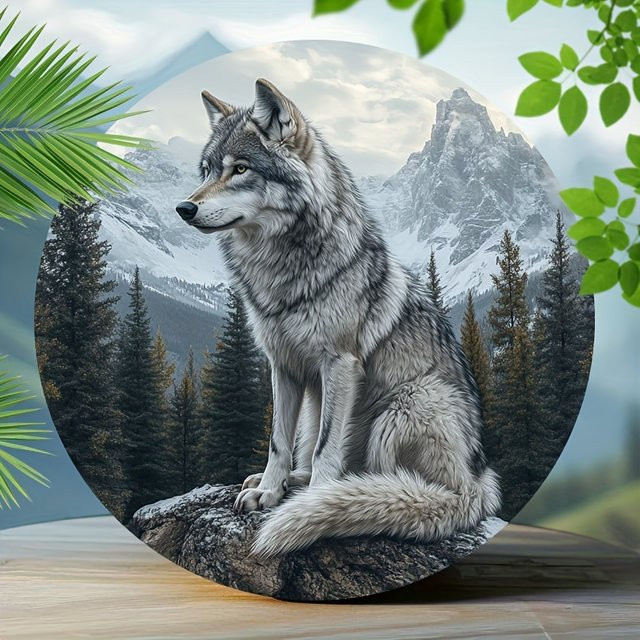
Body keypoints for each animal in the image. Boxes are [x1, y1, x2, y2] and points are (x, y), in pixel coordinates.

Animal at [175, 78, 500, 556]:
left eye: (240, 169)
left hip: (406, 403)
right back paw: (289, 483)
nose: (184, 208)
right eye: (207, 171)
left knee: (399, 484)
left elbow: (325, 447)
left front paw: (313, 502)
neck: (283, 269)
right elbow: (278, 442)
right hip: (326, 403)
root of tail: (479, 487)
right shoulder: (283, 366)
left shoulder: (340, 365)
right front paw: (268, 491)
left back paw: (354, 496)